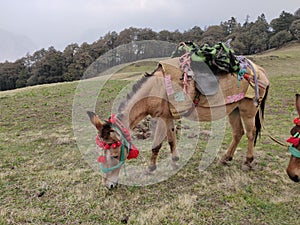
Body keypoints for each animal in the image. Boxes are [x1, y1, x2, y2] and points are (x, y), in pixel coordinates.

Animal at [86, 58, 270, 188]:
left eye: (115, 155)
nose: (108, 185)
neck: (155, 89)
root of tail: (259, 70)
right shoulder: (168, 117)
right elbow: (171, 139)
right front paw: (175, 161)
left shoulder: (162, 118)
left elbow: (157, 144)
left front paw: (150, 168)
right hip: (234, 110)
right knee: (238, 133)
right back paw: (225, 158)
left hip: (247, 110)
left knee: (251, 133)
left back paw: (248, 161)